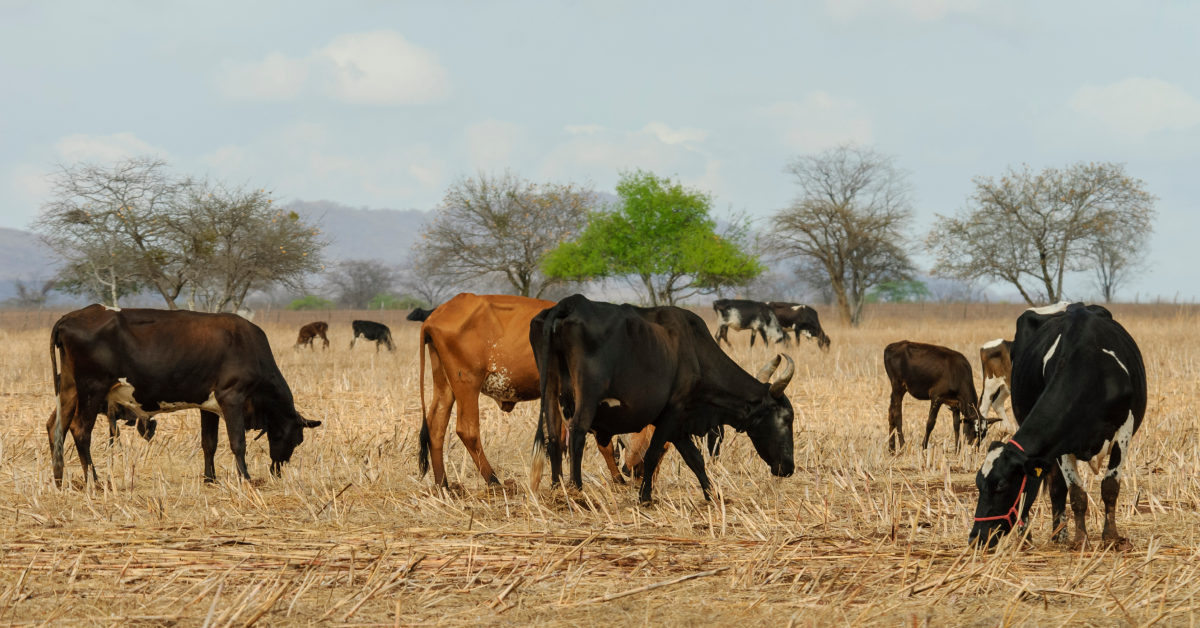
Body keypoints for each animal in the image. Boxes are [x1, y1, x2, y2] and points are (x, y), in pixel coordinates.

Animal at [47, 305, 321, 487]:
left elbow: (209, 443)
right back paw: (93, 481)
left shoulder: (208, 406)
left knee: (55, 427)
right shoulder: (232, 397)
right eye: (297, 439)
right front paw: (245, 478)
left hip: (70, 390)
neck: (249, 346)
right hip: (92, 389)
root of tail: (70, 316)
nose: (278, 471)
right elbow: (238, 443)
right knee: (80, 430)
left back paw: (59, 479)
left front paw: (210, 479)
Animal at [416, 293, 626, 489]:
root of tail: (434, 316)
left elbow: (559, 438)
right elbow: (602, 443)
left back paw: (443, 484)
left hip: (445, 384)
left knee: (436, 428)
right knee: (467, 430)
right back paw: (493, 481)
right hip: (467, 383)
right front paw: (618, 479)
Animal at [529, 294, 796, 504]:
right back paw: (576, 491)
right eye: (786, 418)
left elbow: (695, 459)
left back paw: (556, 488)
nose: (789, 467)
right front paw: (645, 497)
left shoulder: (678, 424)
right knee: (576, 433)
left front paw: (712, 495)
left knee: (554, 439)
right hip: (587, 395)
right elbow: (653, 454)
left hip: (551, 389)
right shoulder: (672, 413)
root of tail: (569, 303)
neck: (696, 351)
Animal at [970, 302, 1146, 549]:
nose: (976, 537)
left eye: (1002, 484)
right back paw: (1049, 535)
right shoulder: (1062, 443)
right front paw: (1081, 540)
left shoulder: (1124, 430)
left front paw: (1111, 537)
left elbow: (1110, 487)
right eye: (978, 483)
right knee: (1056, 486)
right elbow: (1076, 493)